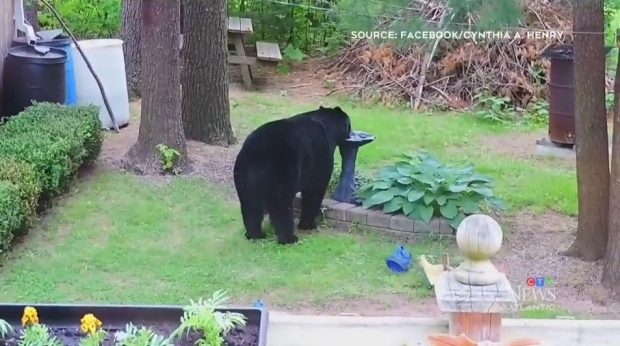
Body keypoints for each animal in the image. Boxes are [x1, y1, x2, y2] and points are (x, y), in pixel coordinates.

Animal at [232, 107, 352, 245]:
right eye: (349, 124)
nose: (352, 133)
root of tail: (255, 156)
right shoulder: (321, 155)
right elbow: (315, 190)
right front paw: (308, 225)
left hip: (243, 178)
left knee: (250, 207)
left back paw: (255, 235)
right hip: (281, 173)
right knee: (281, 205)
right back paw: (289, 238)